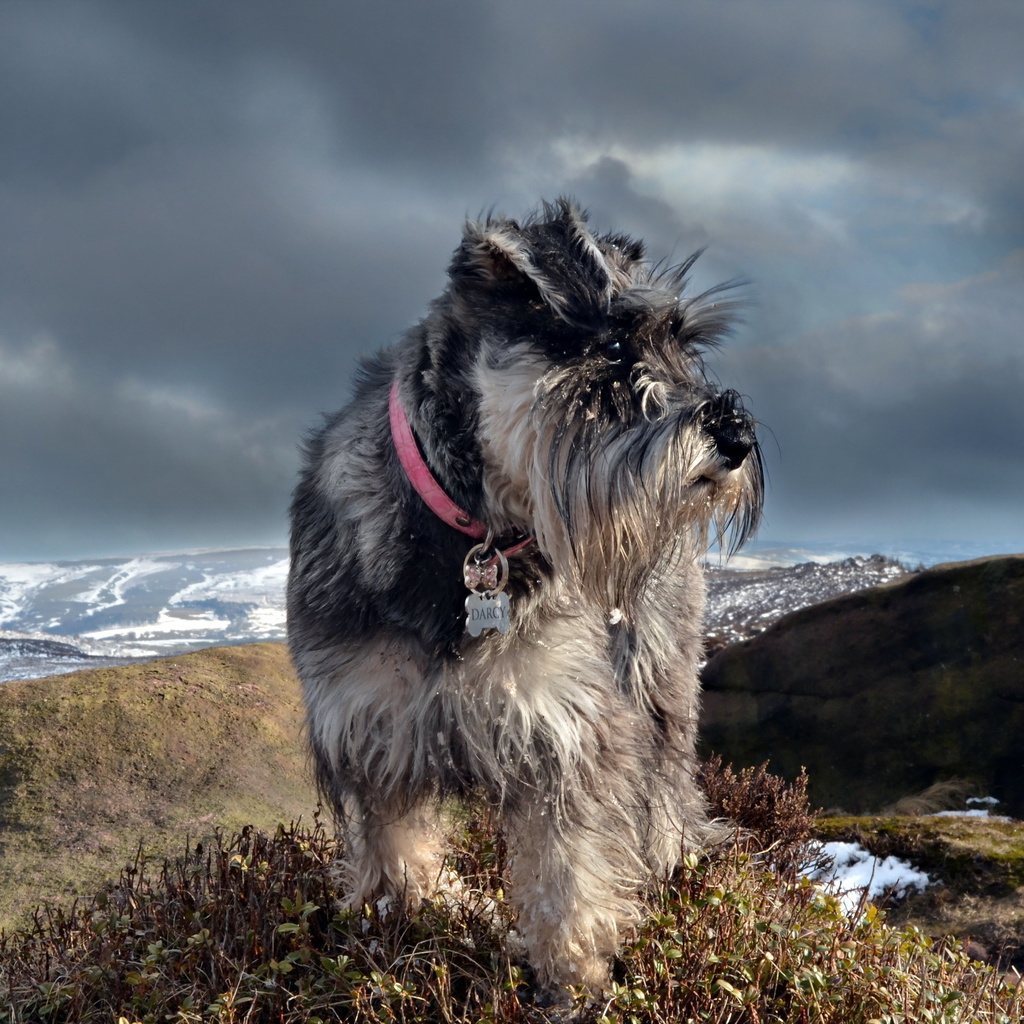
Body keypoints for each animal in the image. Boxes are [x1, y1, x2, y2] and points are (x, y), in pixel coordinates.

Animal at [286, 197, 761, 991]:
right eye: (610, 346)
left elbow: (569, 880)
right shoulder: (370, 729)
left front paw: (574, 982)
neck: (470, 538)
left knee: (665, 781)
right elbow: (396, 856)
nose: (735, 436)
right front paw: (413, 920)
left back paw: (672, 861)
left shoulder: (566, 732)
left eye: (684, 343)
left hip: (655, 672)